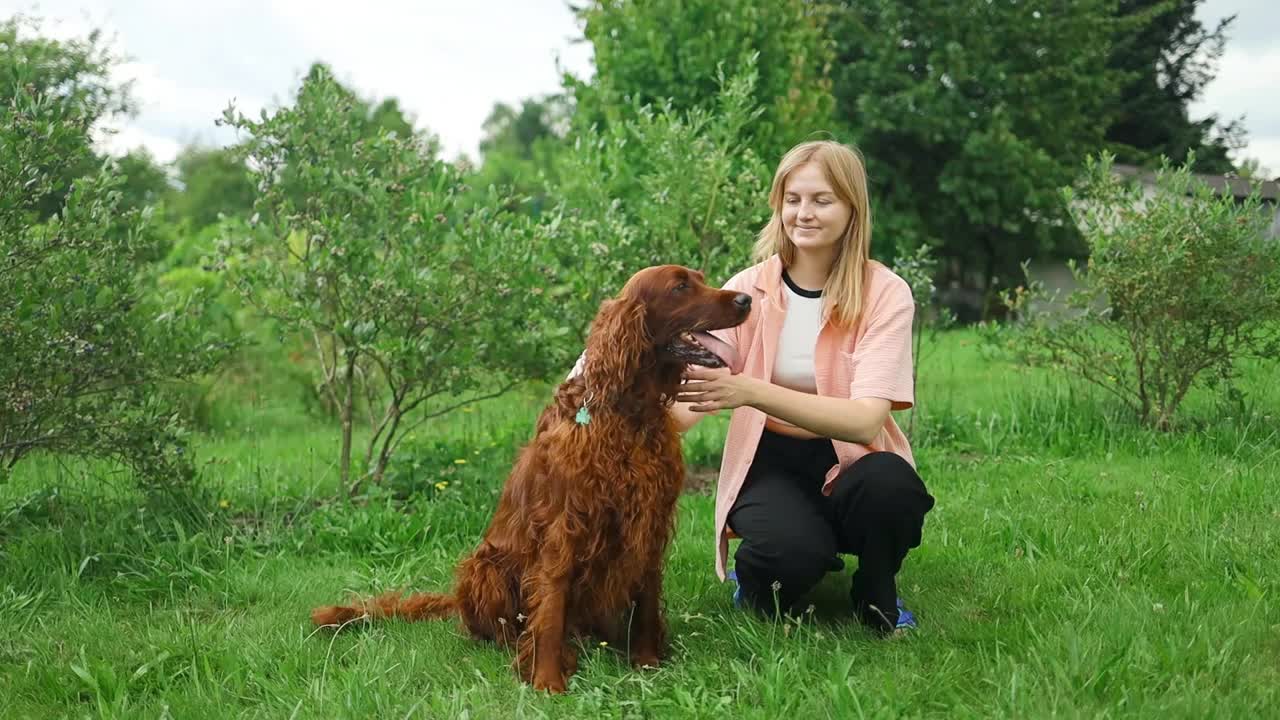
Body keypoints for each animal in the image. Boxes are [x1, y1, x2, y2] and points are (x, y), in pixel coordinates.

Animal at [312, 263, 747, 691]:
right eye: (679, 287)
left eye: (701, 279)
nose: (746, 299)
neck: (628, 414)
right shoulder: (564, 525)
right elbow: (551, 607)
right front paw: (546, 680)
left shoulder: (649, 519)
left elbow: (647, 598)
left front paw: (646, 662)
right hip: (484, 566)